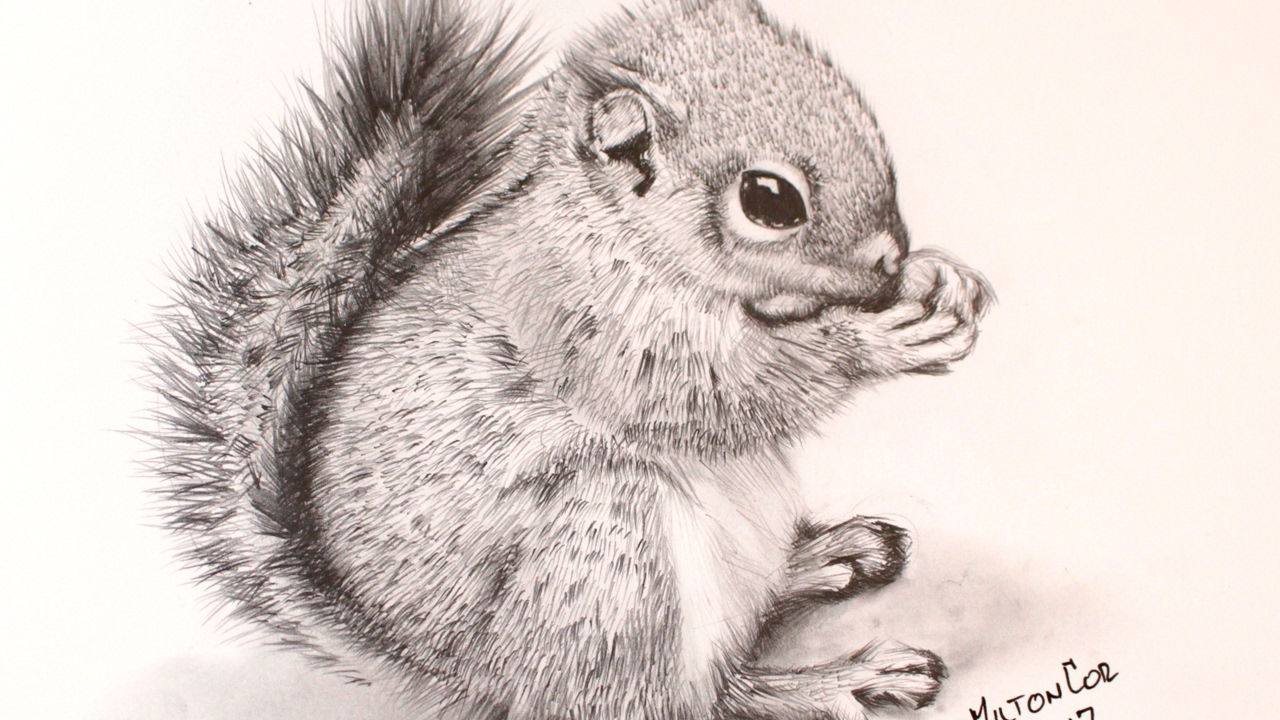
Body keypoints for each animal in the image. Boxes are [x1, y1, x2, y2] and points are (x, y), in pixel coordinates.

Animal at [149, 0, 993, 718]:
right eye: (769, 200)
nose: (888, 260)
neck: (614, 233)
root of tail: (473, 683)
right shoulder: (586, 324)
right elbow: (718, 392)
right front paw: (877, 340)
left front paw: (937, 279)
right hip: (610, 557)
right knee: (683, 700)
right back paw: (833, 680)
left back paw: (828, 556)